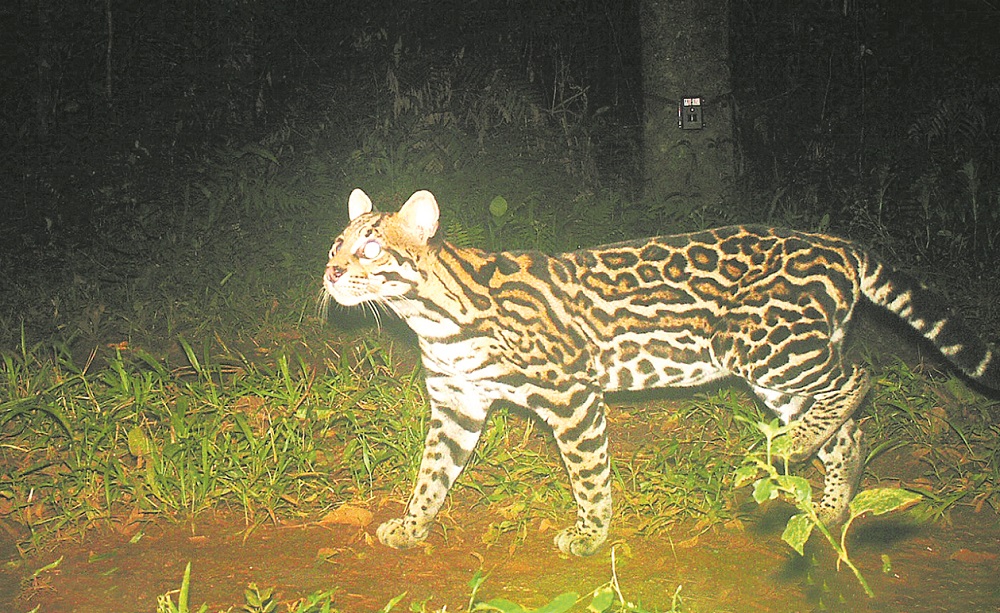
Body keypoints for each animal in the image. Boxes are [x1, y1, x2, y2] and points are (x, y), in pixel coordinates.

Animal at [324, 186, 996, 556]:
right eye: (336, 244)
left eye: (372, 248)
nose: (330, 272)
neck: (433, 316)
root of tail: (839, 245)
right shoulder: (457, 403)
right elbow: (431, 476)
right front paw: (413, 527)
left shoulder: (572, 393)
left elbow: (589, 475)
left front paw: (591, 536)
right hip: (782, 368)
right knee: (844, 429)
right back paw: (827, 503)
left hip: (767, 347)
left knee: (856, 382)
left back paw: (790, 451)